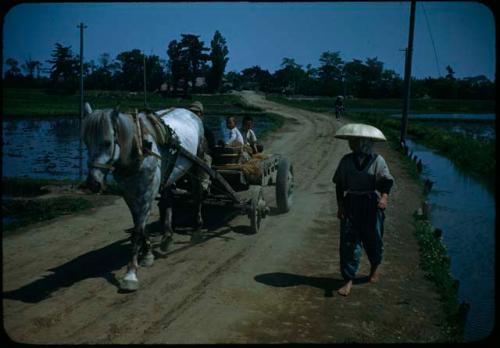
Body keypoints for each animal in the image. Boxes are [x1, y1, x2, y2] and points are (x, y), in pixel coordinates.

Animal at [82, 104, 207, 290]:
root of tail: (190, 112)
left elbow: (138, 231)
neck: (138, 147)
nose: (93, 184)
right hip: (169, 174)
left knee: (198, 193)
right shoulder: (129, 194)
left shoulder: (146, 193)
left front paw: (131, 274)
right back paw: (167, 236)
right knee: (167, 200)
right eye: (86, 142)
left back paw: (198, 228)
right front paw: (147, 254)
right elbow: (139, 225)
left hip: (196, 164)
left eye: (107, 142)